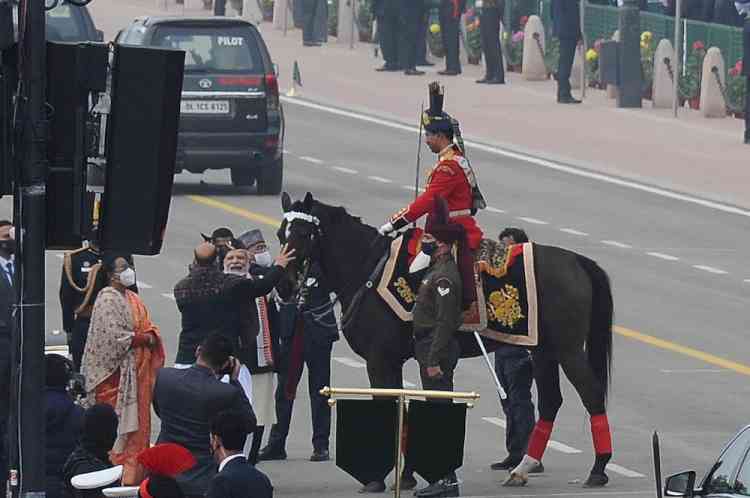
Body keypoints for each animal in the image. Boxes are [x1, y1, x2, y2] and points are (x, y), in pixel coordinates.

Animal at [282, 193, 616, 488]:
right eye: (280, 233)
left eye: (303, 234)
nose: (286, 285)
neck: (368, 269)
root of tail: (576, 260)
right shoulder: (392, 362)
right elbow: (402, 410)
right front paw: (407, 475)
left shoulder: (379, 360)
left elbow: (390, 407)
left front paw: (380, 479)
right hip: (543, 349)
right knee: (550, 401)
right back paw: (522, 468)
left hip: (567, 350)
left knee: (591, 394)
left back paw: (598, 469)